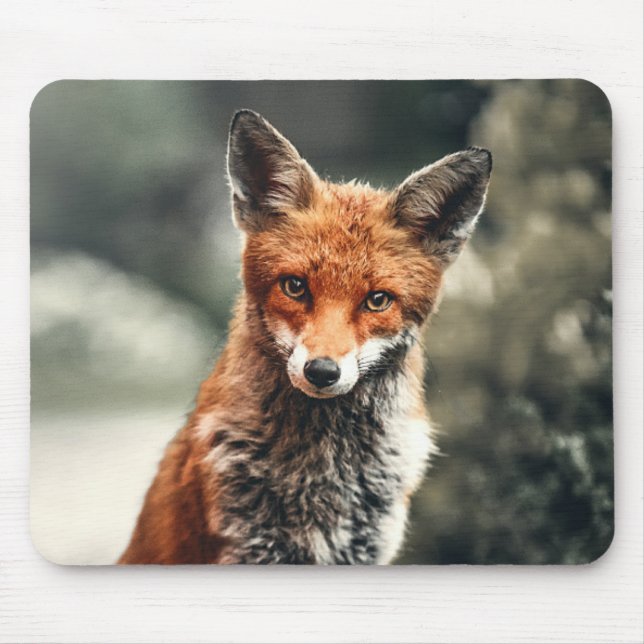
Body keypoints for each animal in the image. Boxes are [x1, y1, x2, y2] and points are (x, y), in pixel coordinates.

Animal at [119, 109, 492, 565]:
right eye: (295, 287)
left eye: (377, 300)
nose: (322, 372)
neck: (325, 473)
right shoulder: (247, 545)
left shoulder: (367, 547)